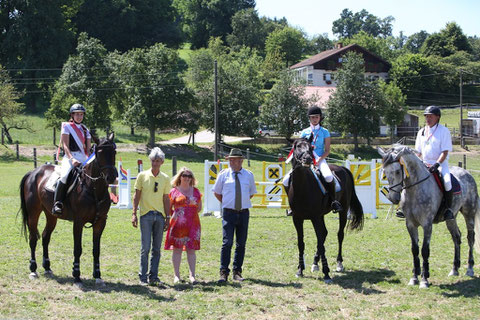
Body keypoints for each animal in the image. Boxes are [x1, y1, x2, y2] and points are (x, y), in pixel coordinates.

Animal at [19, 132, 117, 288]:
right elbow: (77, 249)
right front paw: (76, 276)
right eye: (100, 152)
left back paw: (47, 268)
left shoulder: (100, 222)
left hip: (51, 215)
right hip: (33, 213)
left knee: (45, 237)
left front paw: (98, 276)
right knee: (33, 238)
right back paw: (33, 270)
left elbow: (96, 250)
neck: (93, 189)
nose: (111, 177)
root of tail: (33, 172)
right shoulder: (78, 222)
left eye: (114, 152)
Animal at [286, 138, 362, 282]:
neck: (302, 187)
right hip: (321, 215)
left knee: (339, 235)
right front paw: (300, 269)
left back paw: (339, 263)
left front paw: (326, 273)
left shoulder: (315, 217)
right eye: (297, 146)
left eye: (311, 147)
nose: (308, 159)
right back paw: (315, 263)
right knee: (324, 233)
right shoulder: (297, 218)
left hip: (343, 212)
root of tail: (341, 168)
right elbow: (301, 243)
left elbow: (321, 244)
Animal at [378, 145, 480, 288]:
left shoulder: (427, 224)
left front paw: (424, 279)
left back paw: (469, 269)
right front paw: (414, 278)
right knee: (456, 237)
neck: (414, 190)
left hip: (469, 213)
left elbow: (425, 250)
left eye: (398, 171)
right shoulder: (410, 224)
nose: (393, 198)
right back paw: (454, 269)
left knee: (470, 238)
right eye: (385, 173)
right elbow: (415, 249)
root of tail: (466, 173)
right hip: (451, 217)